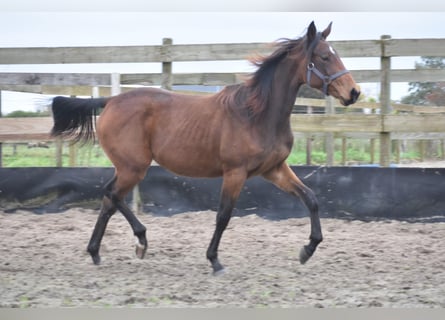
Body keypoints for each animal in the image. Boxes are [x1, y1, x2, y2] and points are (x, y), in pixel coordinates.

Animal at [50, 21, 360, 274]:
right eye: (324, 56)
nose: (354, 92)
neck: (257, 114)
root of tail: (111, 101)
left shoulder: (274, 169)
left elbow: (311, 198)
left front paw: (307, 250)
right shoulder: (235, 173)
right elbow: (223, 216)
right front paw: (214, 261)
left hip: (129, 167)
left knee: (109, 199)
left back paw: (101, 251)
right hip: (133, 167)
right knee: (112, 195)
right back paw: (136, 241)